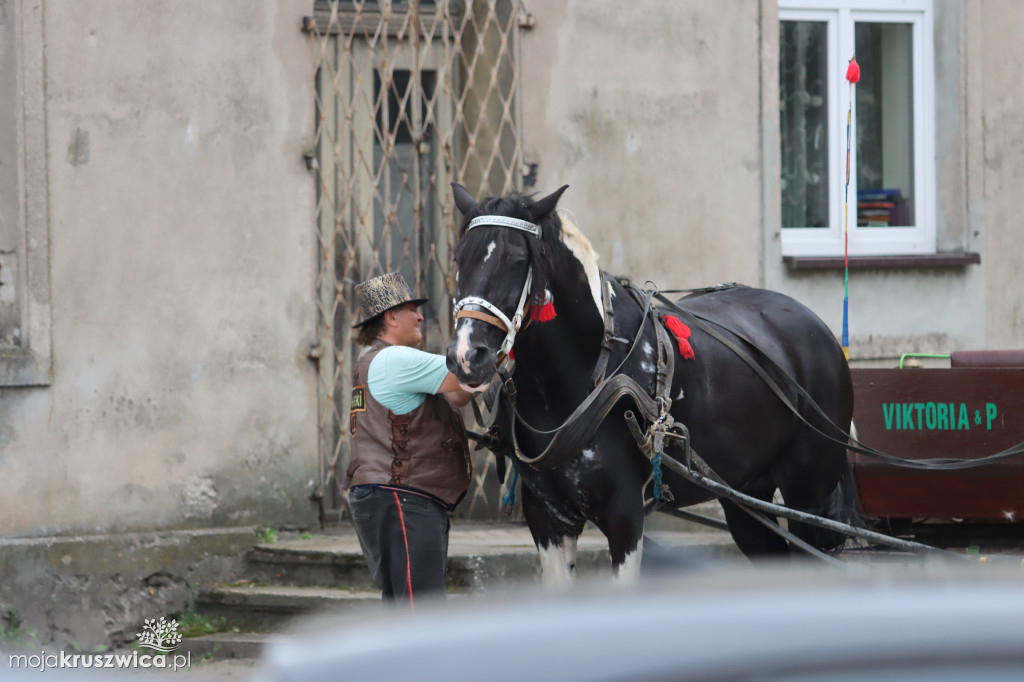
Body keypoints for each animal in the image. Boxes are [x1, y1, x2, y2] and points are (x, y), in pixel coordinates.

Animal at [448, 183, 856, 581]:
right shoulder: (547, 517)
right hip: (744, 496)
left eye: (517, 261)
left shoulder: (625, 514)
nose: (466, 354)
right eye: (458, 259)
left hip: (809, 496)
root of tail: (815, 325)